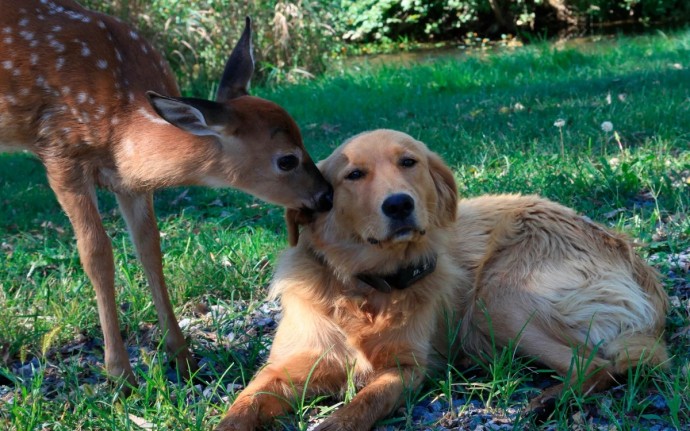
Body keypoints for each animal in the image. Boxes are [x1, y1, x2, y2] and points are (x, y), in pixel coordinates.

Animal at [0, 0, 334, 388]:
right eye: (286, 160)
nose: (326, 195)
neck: (121, 124)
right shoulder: (60, 154)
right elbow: (96, 253)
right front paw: (120, 374)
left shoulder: (128, 181)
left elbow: (150, 249)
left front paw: (184, 359)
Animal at [216, 129, 668, 431]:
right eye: (354, 175)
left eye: (409, 162)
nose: (399, 204)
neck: (365, 286)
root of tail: (631, 256)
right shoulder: (281, 370)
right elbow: (242, 406)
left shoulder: (406, 370)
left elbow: (364, 402)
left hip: (495, 300)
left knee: (598, 364)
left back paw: (545, 402)